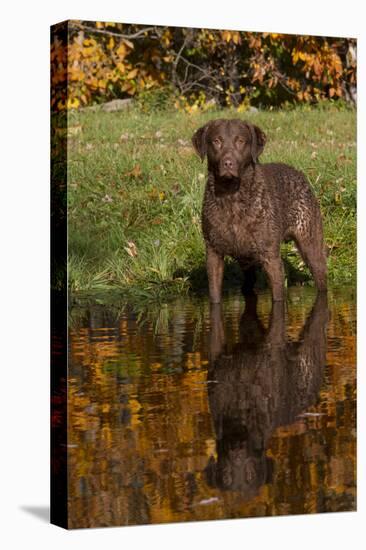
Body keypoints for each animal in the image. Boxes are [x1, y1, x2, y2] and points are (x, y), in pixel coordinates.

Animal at [193, 118, 328, 304]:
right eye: (216, 141)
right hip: (247, 261)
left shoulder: (271, 257)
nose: (228, 163)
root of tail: (299, 173)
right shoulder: (214, 253)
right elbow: (215, 297)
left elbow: (278, 298)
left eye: (240, 141)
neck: (232, 199)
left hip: (311, 246)